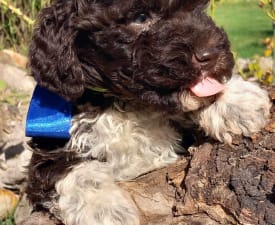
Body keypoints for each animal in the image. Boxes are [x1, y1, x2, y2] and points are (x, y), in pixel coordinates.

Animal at [25, 0, 272, 225]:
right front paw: (103, 209)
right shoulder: (48, 152)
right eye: (141, 17)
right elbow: (70, 171)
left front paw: (236, 100)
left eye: (197, 8)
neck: (126, 104)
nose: (210, 54)